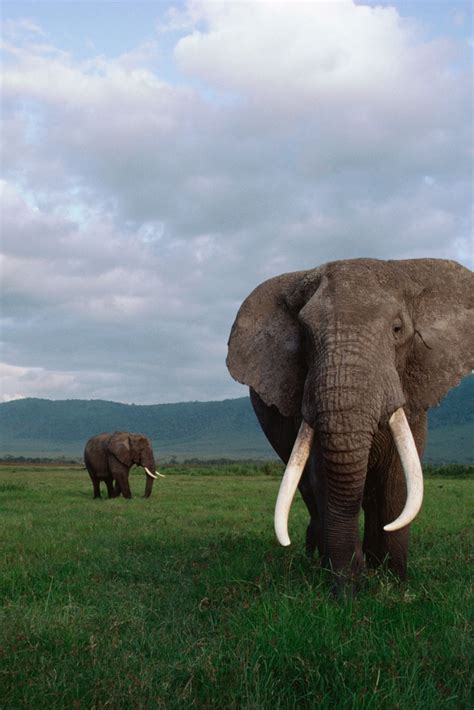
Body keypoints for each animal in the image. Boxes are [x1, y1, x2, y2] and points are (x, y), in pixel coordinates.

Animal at [227, 258, 473, 584]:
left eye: (397, 329)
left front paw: (395, 583)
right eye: (304, 337)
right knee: (310, 493)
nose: (353, 579)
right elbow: (325, 478)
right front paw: (347, 587)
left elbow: (397, 484)